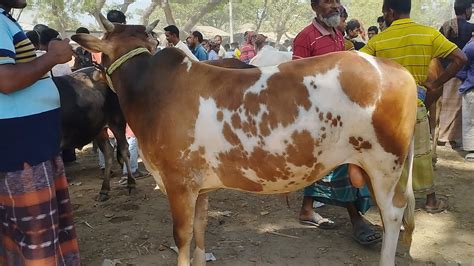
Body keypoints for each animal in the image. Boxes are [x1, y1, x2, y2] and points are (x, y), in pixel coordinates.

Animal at [72, 17, 416, 266]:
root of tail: (396, 69)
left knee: (392, 213)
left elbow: (182, 238)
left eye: (101, 56)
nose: (90, 75)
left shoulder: (179, 183)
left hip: (384, 164)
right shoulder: (200, 187)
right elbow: (200, 231)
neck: (150, 92)